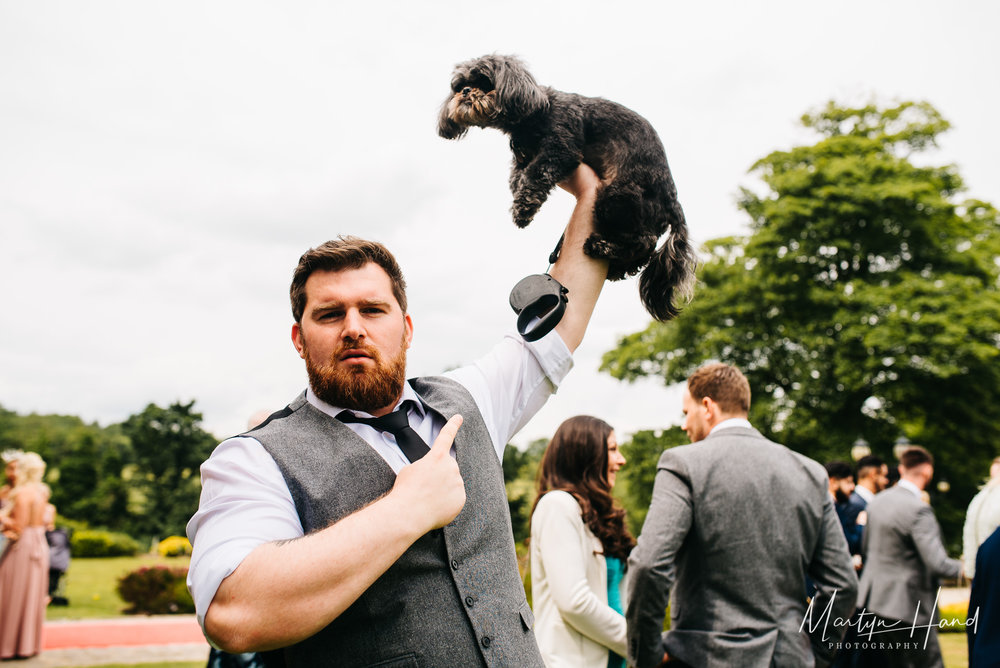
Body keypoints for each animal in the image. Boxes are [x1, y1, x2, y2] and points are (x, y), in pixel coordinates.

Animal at [438, 54, 696, 320]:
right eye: (459, 86)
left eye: (484, 81)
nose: (465, 92)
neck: (536, 111)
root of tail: (673, 200)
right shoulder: (524, 154)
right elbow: (518, 174)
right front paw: (517, 191)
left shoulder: (561, 148)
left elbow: (535, 173)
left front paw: (523, 210)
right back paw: (617, 268)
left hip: (616, 197)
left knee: (644, 240)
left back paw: (601, 246)